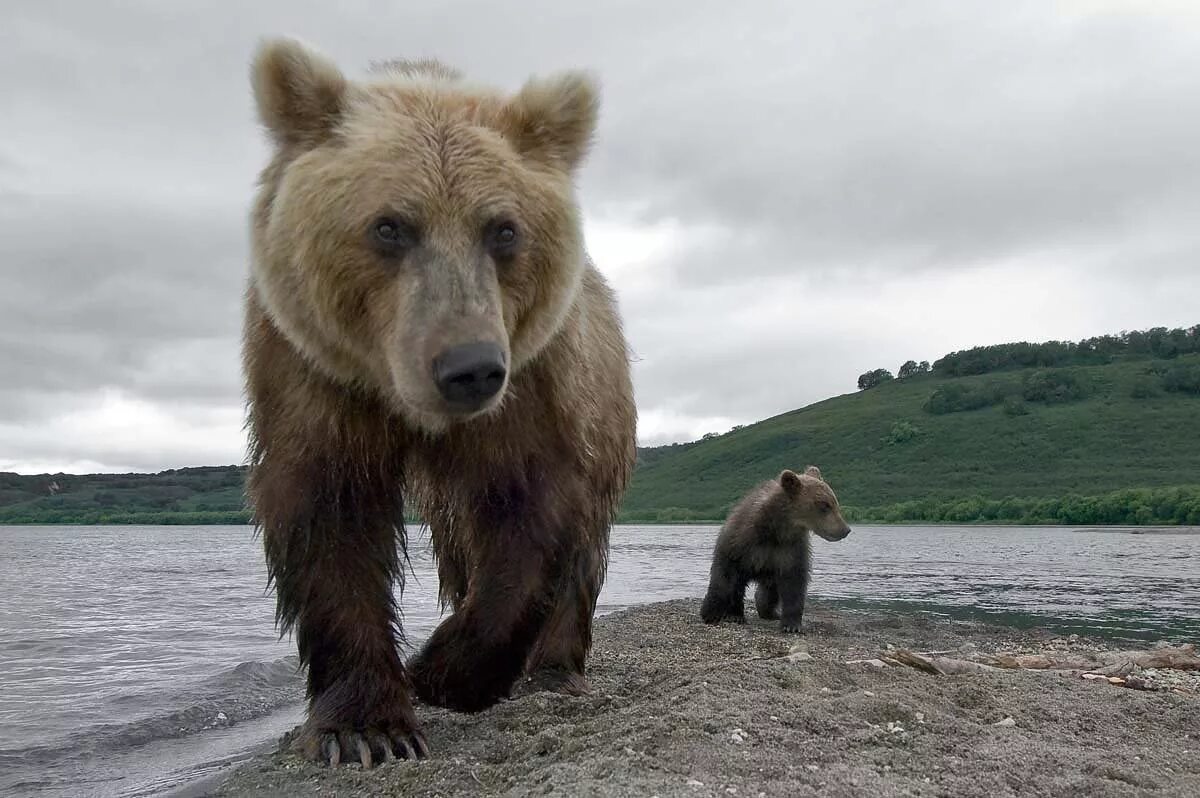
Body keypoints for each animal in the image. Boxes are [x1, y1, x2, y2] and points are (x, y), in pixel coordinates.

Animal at [241, 35, 638, 768]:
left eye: (503, 229)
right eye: (389, 226)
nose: (469, 369)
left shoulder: (535, 387)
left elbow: (532, 515)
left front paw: (443, 672)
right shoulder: (313, 378)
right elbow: (329, 517)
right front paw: (365, 727)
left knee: (582, 548)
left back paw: (553, 668)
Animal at [700, 463, 849, 633]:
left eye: (835, 502)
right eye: (824, 505)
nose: (845, 529)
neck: (775, 529)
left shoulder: (790, 549)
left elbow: (794, 582)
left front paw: (791, 625)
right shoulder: (739, 543)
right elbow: (724, 576)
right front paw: (711, 613)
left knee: (768, 592)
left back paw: (770, 612)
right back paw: (735, 614)